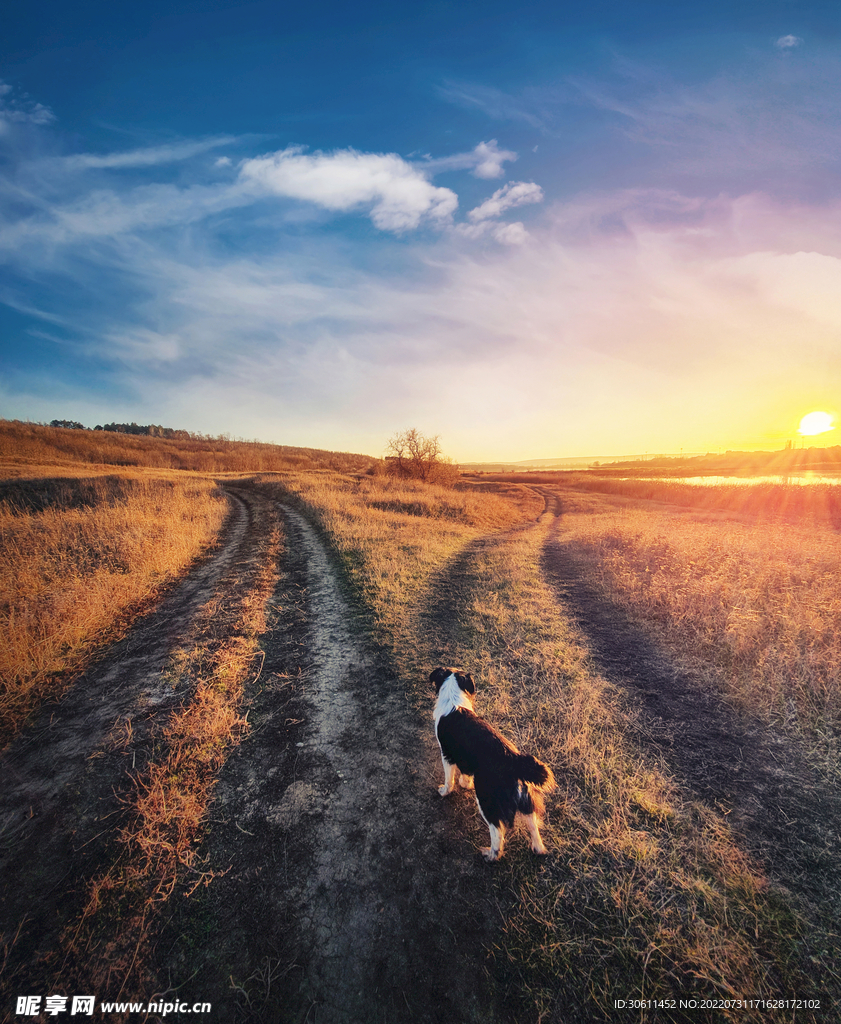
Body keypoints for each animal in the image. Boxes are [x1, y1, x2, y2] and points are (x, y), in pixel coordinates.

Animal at [432, 667, 557, 860]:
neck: (453, 700)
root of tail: (514, 760)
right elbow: (466, 774)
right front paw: (465, 784)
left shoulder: (446, 754)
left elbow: (449, 780)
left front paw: (444, 791)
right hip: (525, 798)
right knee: (532, 824)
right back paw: (538, 848)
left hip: (487, 800)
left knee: (497, 831)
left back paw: (491, 855)